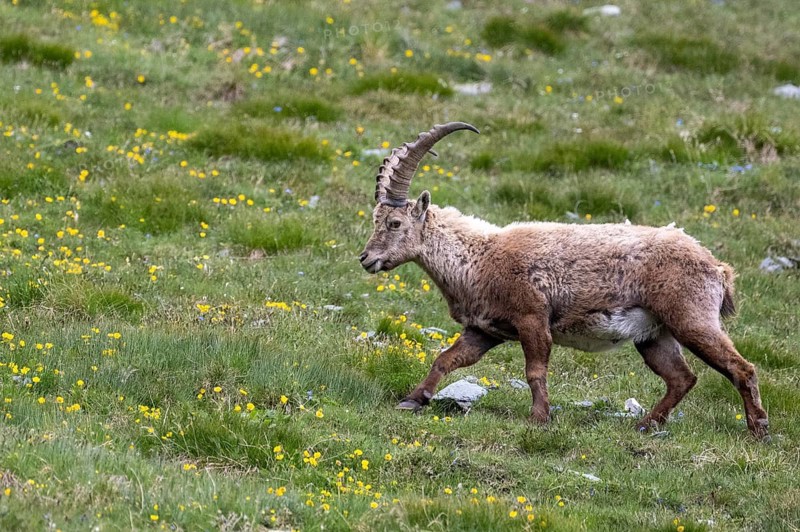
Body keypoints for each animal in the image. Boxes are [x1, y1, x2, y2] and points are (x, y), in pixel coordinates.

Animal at [359, 122, 769, 439]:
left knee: (741, 368)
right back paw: (646, 425)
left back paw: (758, 430)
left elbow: (534, 371)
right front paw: (413, 399)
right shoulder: (485, 329)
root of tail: (717, 267)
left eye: (394, 223)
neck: (478, 257)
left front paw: (539, 419)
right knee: (682, 377)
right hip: (654, 334)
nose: (365, 258)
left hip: (692, 319)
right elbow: (447, 359)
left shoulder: (532, 318)